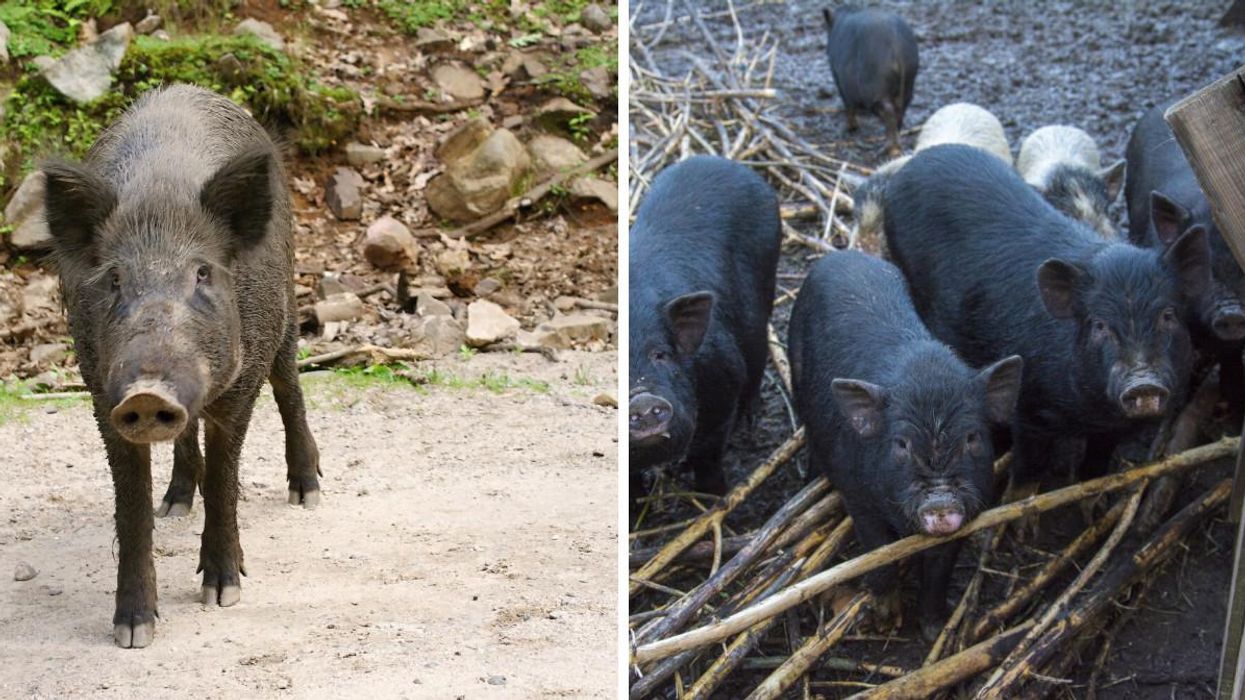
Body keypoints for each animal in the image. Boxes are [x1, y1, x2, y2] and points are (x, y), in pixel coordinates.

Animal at [42, 84, 320, 648]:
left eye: (202, 273)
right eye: (115, 279)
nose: (148, 391)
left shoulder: (241, 383)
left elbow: (225, 478)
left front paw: (222, 594)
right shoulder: (102, 394)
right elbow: (131, 508)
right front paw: (132, 633)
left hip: (285, 301)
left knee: (290, 386)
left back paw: (307, 493)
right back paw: (174, 504)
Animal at [629, 156, 781, 495]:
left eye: (660, 354)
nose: (642, 400)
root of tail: (725, 161)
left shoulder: (724, 373)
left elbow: (708, 452)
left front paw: (715, 497)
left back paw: (750, 423)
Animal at [789, 250, 1022, 639]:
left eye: (972, 437)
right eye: (901, 444)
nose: (941, 500)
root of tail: (841, 253)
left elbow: (940, 570)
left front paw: (933, 629)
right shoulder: (859, 498)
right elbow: (878, 554)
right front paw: (886, 620)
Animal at [824, 5, 919, 156]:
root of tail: (896, 48)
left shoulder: (838, 78)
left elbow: (848, 105)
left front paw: (848, 128)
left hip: (874, 90)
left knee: (888, 112)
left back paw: (888, 150)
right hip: (908, 84)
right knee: (900, 111)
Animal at [883, 144, 1208, 516]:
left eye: (1168, 315)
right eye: (1099, 324)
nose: (1143, 382)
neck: (1089, 410)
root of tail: (916, 160)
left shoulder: (1111, 425)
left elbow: (1097, 464)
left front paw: (1094, 505)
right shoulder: (1029, 406)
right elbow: (1029, 465)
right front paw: (1016, 516)